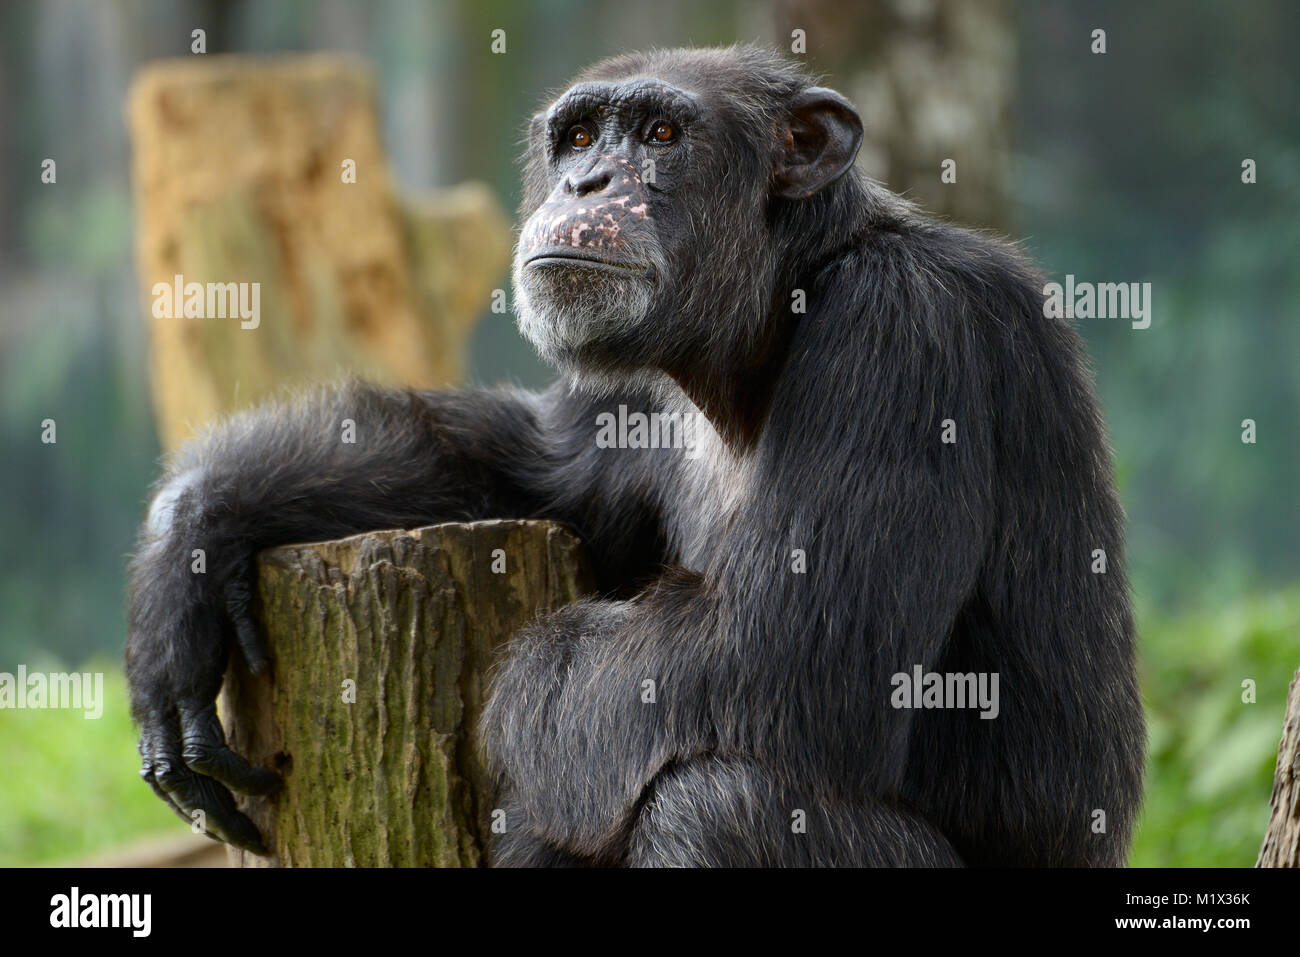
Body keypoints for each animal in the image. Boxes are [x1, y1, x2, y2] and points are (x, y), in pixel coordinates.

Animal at [129, 46, 1149, 868]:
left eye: (660, 132)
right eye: (579, 135)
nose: (586, 183)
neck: (777, 305)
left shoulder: (906, 331)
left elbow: (780, 650)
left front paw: (518, 689)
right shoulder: (630, 398)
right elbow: (515, 463)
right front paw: (188, 557)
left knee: (718, 800)